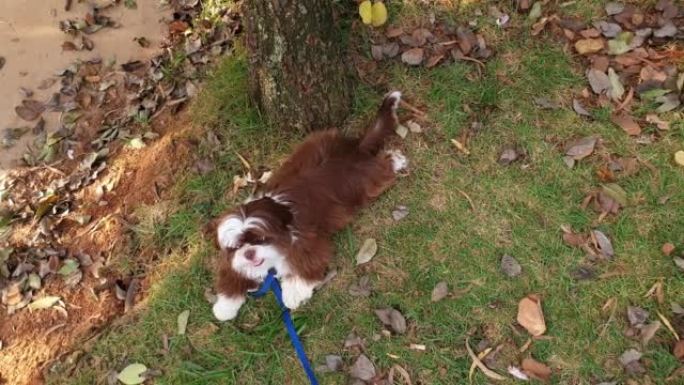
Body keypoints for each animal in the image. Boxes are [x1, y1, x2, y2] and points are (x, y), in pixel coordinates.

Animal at [210, 91, 406, 320]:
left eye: (260, 239)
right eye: (237, 246)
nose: (250, 253)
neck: (278, 212)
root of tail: (353, 149)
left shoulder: (306, 242)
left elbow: (304, 264)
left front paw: (293, 294)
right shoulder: (233, 260)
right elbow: (232, 272)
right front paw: (224, 306)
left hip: (363, 181)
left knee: (382, 167)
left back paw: (397, 160)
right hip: (319, 139)